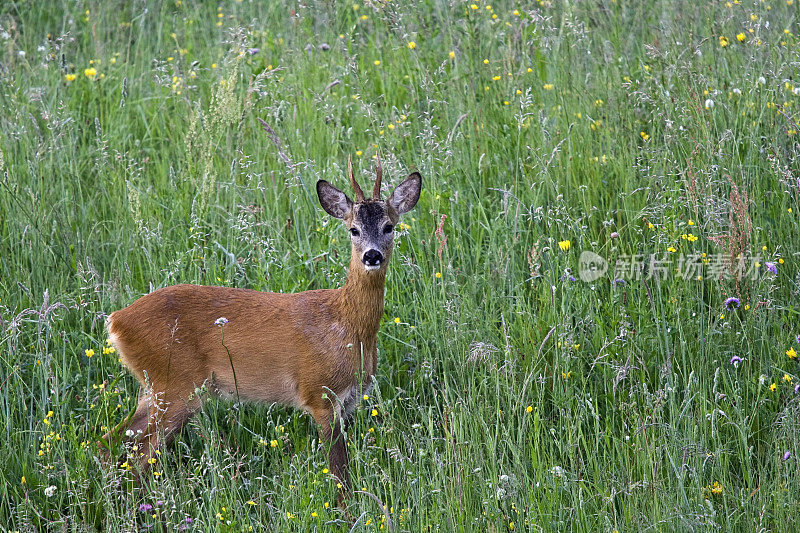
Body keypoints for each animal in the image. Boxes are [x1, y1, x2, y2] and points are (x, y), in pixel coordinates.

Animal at [103, 157, 422, 502]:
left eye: (389, 226)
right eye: (354, 229)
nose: (372, 255)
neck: (348, 328)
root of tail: (116, 320)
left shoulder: (349, 400)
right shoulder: (319, 393)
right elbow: (340, 473)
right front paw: (346, 509)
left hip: (155, 387)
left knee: (114, 441)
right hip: (175, 385)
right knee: (138, 451)